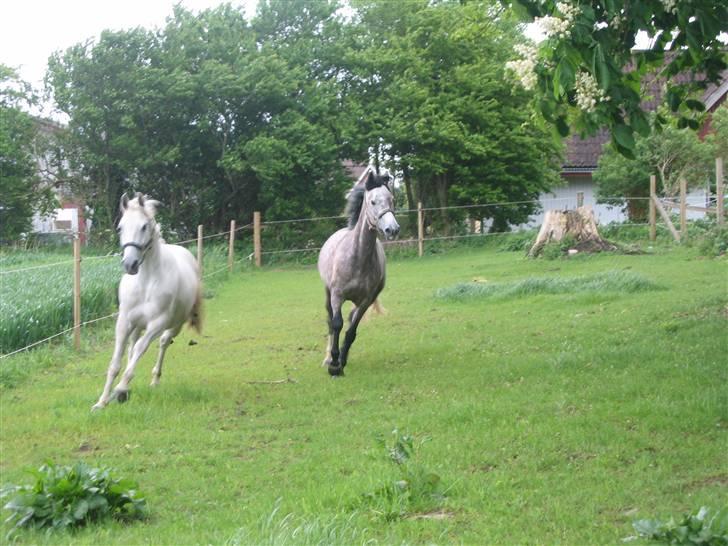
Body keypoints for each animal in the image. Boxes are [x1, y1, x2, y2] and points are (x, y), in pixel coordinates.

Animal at [93, 191, 205, 408]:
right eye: (120, 227)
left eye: (144, 226)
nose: (130, 264)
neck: (145, 282)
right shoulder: (124, 322)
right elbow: (116, 362)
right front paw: (102, 402)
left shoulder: (157, 324)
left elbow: (140, 350)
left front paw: (120, 389)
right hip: (137, 325)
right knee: (131, 348)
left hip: (174, 325)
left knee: (162, 343)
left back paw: (154, 380)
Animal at [318, 169, 400, 374]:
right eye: (372, 201)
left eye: (391, 199)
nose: (392, 229)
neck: (358, 258)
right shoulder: (337, 295)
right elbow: (336, 324)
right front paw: (334, 365)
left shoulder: (366, 300)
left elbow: (351, 331)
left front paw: (341, 361)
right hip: (327, 293)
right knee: (330, 321)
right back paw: (327, 358)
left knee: (349, 319)